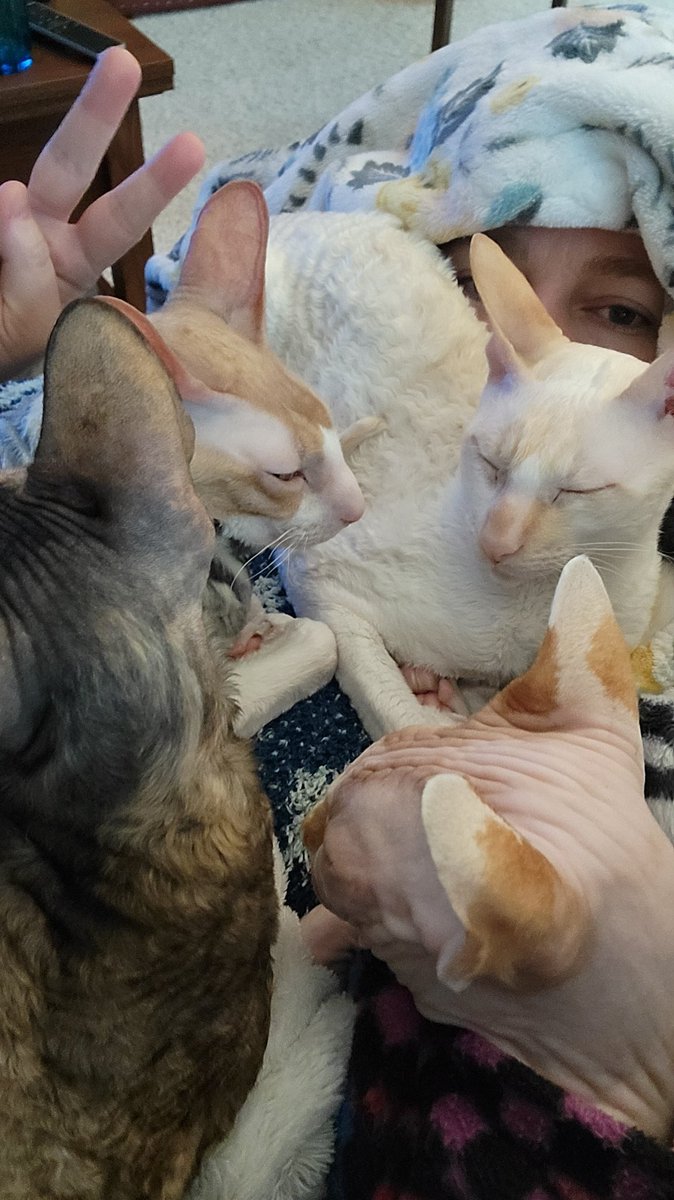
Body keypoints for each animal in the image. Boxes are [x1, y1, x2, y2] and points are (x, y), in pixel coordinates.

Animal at [263, 213, 674, 739]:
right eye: (491, 463)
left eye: (577, 491)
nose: (496, 541)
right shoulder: (317, 574)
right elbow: (395, 716)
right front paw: (430, 710)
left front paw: (456, 698)